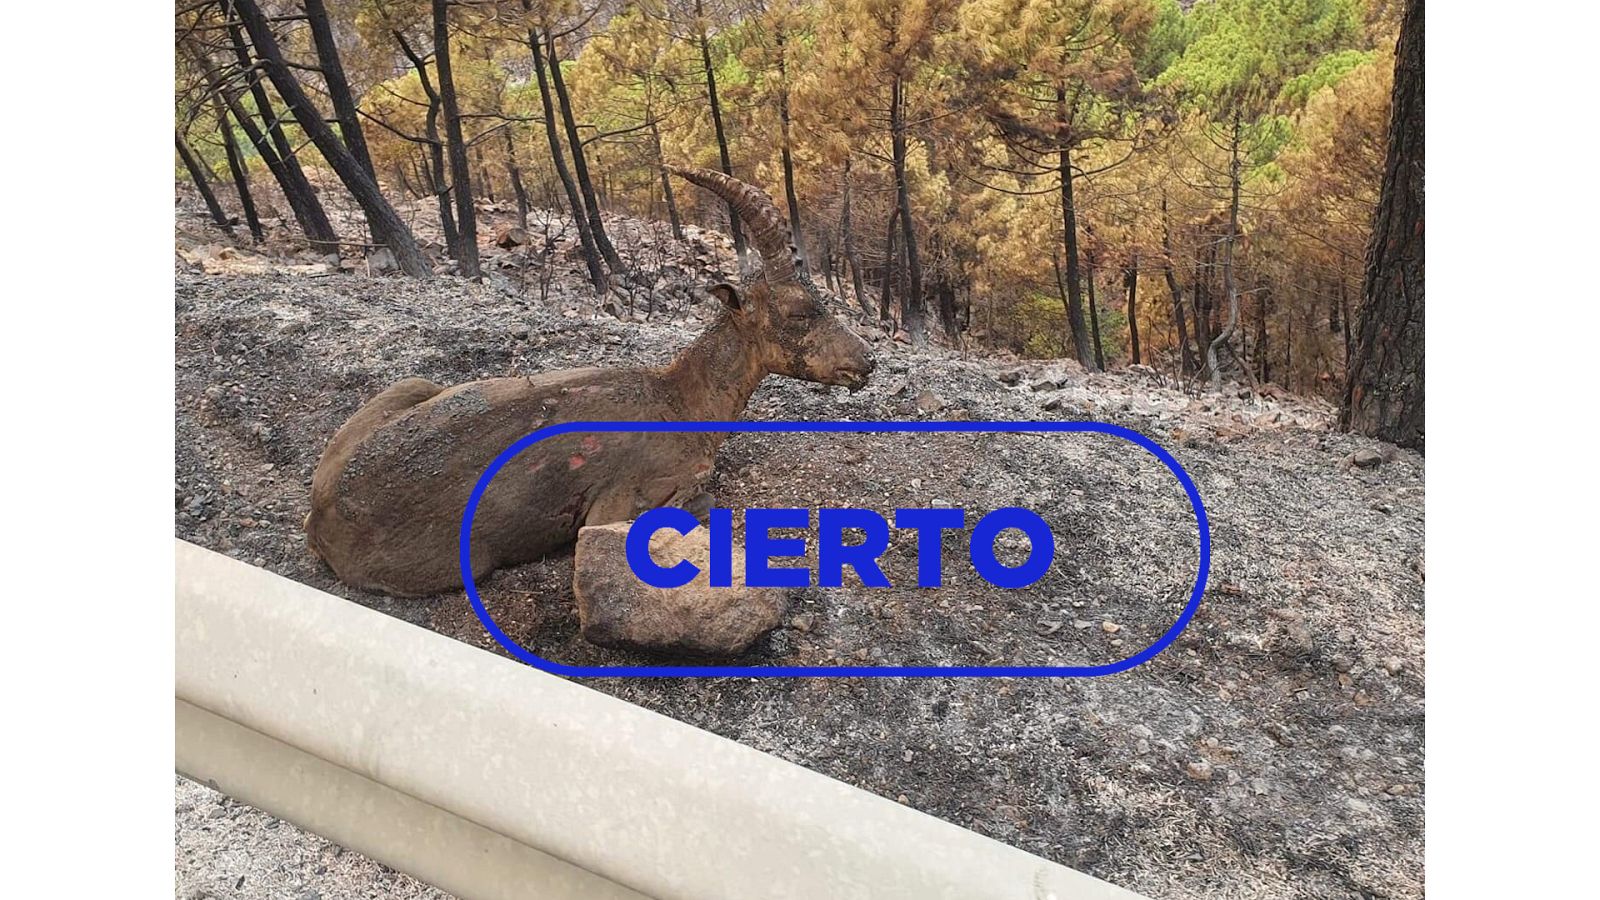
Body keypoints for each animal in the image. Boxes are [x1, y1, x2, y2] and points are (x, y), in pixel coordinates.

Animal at [305, 167, 876, 596]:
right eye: (800, 311)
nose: (865, 361)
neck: (679, 401)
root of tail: (320, 518)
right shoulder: (619, 500)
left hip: (409, 384)